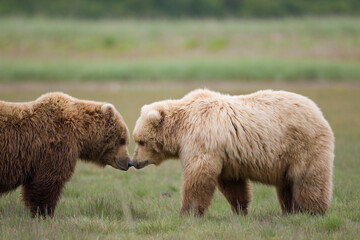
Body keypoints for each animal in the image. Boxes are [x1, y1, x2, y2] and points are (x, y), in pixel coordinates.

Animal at [0, 92, 131, 218]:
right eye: (122, 140)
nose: (128, 162)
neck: (80, 132)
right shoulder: (55, 146)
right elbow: (47, 182)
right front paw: (44, 213)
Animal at [130, 88, 334, 216]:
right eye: (136, 139)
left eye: (141, 141)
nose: (133, 162)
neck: (181, 129)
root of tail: (318, 112)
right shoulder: (226, 156)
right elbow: (232, 185)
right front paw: (240, 210)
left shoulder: (202, 140)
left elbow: (198, 176)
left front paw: (187, 212)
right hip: (287, 158)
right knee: (287, 185)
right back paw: (290, 210)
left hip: (303, 145)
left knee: (307, 179)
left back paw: (313, 211)